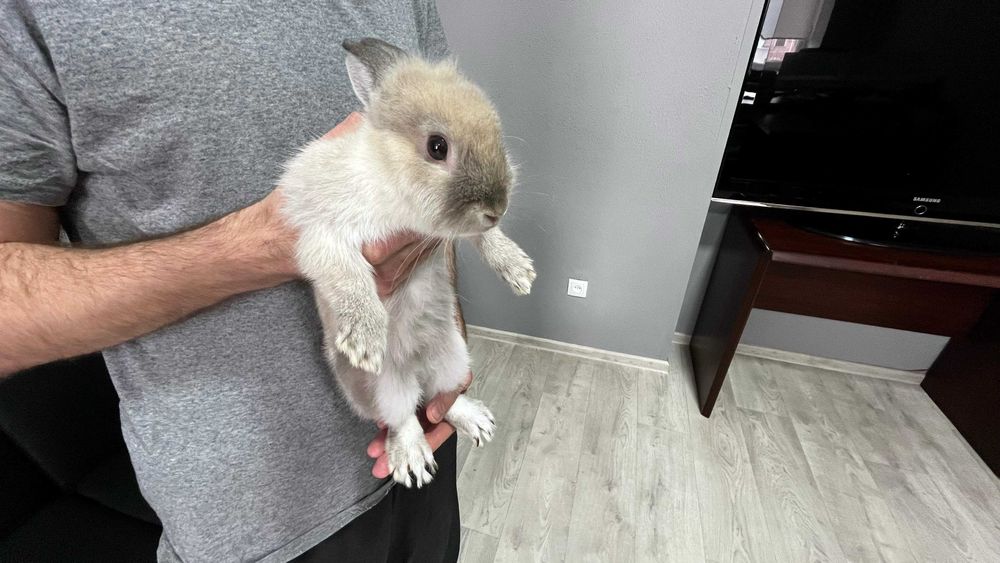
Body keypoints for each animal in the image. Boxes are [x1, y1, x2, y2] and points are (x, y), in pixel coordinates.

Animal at [279, 38, 535, 488]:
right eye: (437, 146)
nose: (496, 207)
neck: (391, 177)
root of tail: (415, 366)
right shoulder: (322, 232)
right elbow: (346, 275)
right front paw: (364, 339)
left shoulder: (454, 231)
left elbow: (483, 238)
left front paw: (519, 272)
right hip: (383, 389)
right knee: (403, 417)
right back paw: (411, 458)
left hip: (453, 358)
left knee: (441, 398)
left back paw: (477, 422)